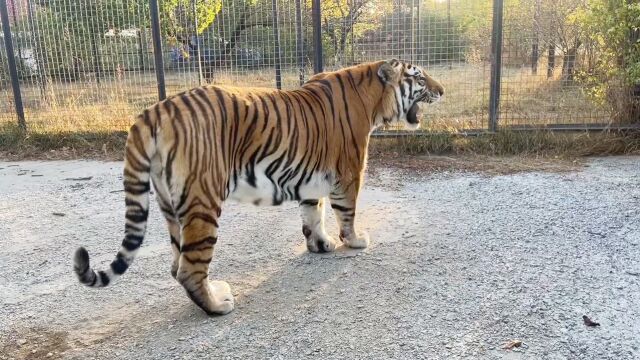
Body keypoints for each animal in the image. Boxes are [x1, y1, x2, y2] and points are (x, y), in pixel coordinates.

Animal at [72, 59, 444, 316]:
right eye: (419, 77)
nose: (442, 90)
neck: (373, 98)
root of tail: (153, 110)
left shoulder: (312, 177)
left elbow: (314, 214)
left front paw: (320, 245)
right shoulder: (350, 172)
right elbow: (346, 212)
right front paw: (354, 241)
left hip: (168, 203)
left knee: (176, 264)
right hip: (203, 200)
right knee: (190, 268)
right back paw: (218, 306)